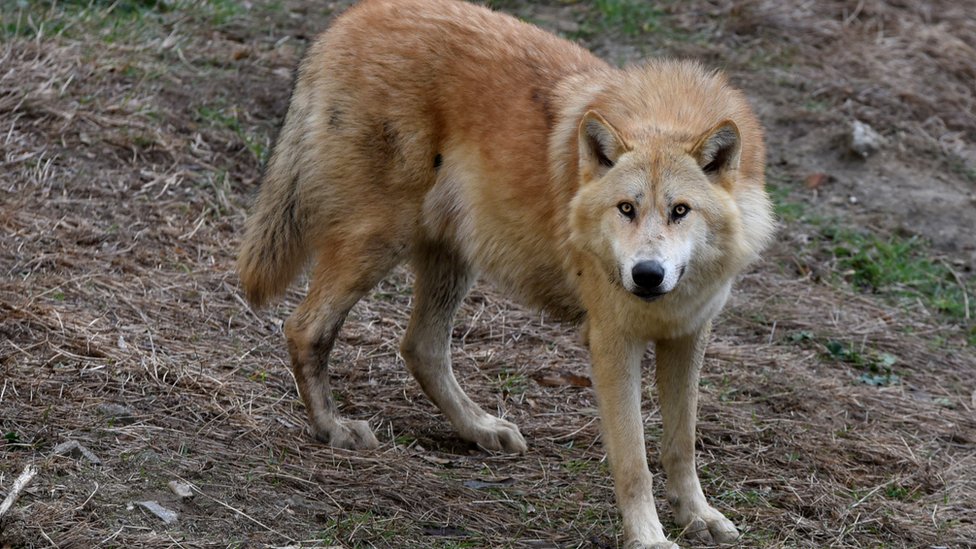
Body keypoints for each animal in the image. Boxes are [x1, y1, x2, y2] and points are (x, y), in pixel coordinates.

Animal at [238, 0, 774, 546]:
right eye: (626, 208)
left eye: (680, 211)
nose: (646, 275)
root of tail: (348, 20)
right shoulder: (612, 342)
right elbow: (633, 460)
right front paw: (648, 536)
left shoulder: (688, 334)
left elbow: (681, 444)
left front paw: (698, 516)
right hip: (378, 243)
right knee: (306, 329)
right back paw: (333, 429)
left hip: (452, 258)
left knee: (420, 347)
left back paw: (480, 430)